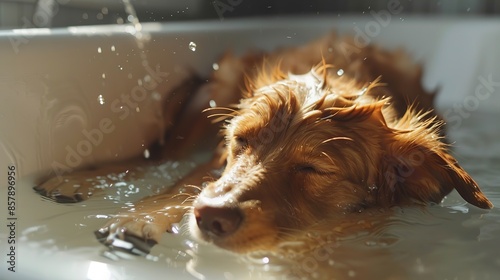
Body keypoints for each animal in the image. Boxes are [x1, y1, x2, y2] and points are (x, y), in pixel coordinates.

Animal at [35, 32, 492, 254]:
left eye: (313, 168)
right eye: (240, 141)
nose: (211, 217)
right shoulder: (215, 162)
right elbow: (185, 183)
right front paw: (138, 218)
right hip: (211, 95)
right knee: (152, 157)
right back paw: (78, 179)